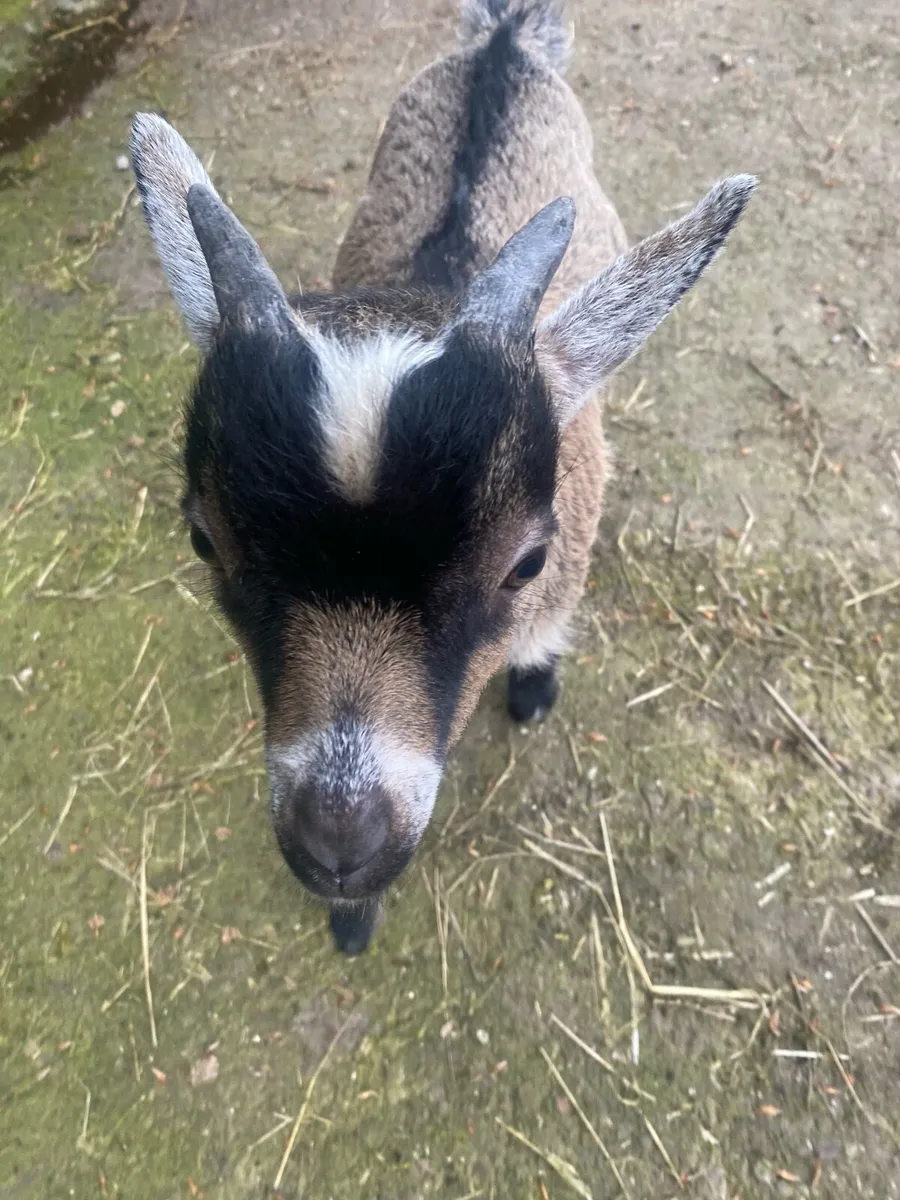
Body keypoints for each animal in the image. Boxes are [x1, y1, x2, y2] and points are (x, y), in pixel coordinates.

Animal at [130, 0, 756, 954]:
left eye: (526, 562)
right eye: (205, 539)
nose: (340, 846)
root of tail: (503, 43)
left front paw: (532, 690)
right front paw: (352, 917)